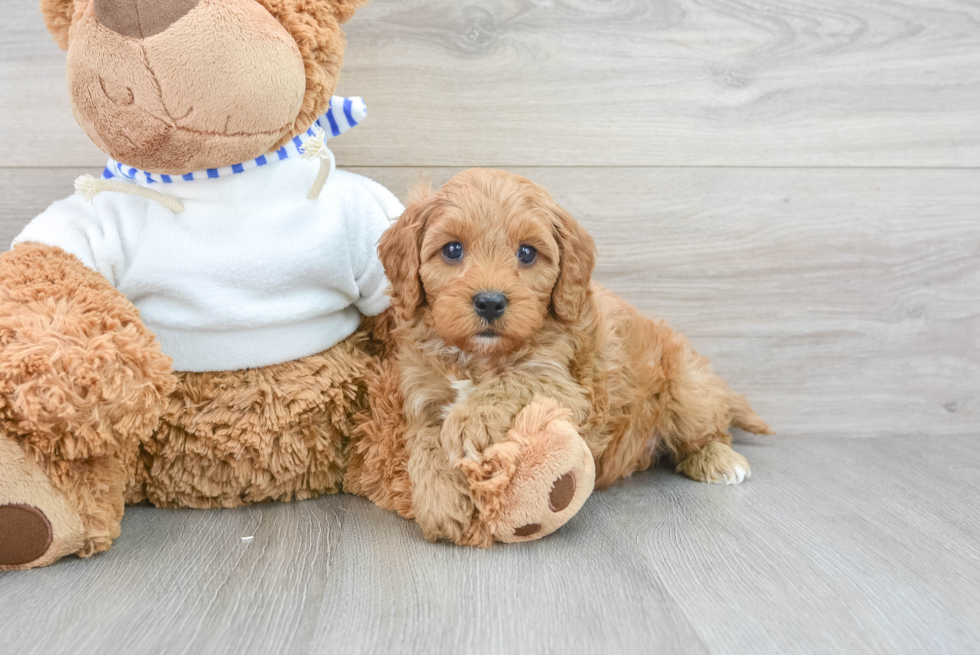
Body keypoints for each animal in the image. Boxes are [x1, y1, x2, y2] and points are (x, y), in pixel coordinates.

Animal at [378, 169, 768, 544]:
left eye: (527, 253)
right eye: (452, 250)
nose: (490, 302)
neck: (477, 357)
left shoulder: (566, 386)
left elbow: (512, 381)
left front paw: (470, 420)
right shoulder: (421, 396)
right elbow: (426, 442)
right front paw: (441, 501)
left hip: (687, 391)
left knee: (709, 430)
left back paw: (720, 459)